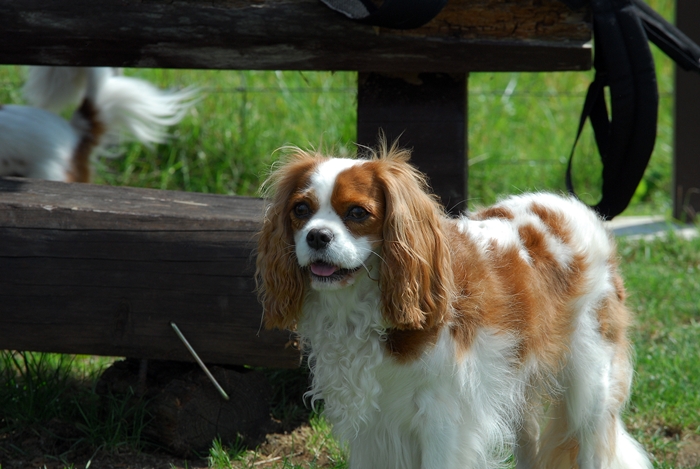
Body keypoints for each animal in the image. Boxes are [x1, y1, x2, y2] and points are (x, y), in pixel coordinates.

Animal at [256, 143, 652, 468]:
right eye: (300, 209)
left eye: (356, 213)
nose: (316, 236)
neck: (363, 308)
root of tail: (572, 207)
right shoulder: (373, 428)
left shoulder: (445, 422)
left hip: (590, 390)